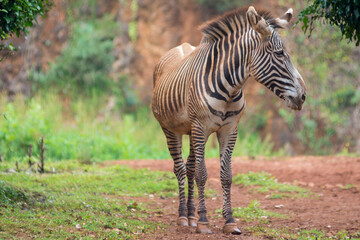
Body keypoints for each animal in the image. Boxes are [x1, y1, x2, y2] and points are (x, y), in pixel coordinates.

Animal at [152, 5, 306, 234]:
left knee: (189, 167)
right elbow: (202, 174)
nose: (303, 96)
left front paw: (229, 221)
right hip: (171, 128)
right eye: (279, 54)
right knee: (179, 168)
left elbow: (226, 175)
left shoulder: (230, 129)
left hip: (190, 129)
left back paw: (191, 216)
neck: (230, 90)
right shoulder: (201, 127)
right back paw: (182, 217)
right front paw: (204, 221)